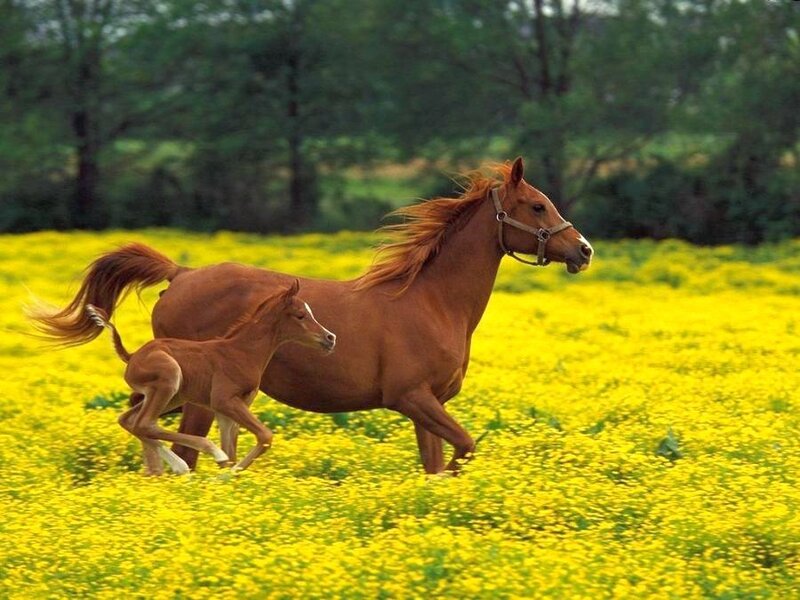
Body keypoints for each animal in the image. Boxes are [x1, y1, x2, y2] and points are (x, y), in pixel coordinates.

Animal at [85, 280, 336, 475]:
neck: (242, 352)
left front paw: (226, 478)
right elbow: (264, 436)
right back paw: (200, 457)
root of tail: (132, 356)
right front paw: (227, 473)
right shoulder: (223, 400)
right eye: (300, 315)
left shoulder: (229, 409)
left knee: (130, 421)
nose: (330, 338)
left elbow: (234, 450)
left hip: (173, 396)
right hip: (169, 379)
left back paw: (175, 466)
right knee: (144, 423)